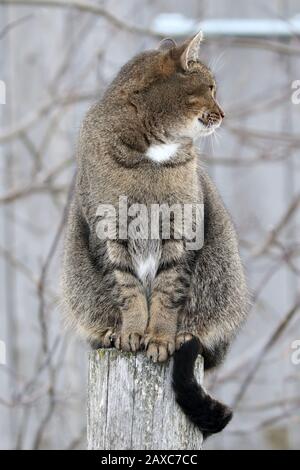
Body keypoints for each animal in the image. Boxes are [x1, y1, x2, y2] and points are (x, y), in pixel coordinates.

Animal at [61, 32, 248, 436]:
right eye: (210, 88)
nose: (223, 113)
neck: (153, 154)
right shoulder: (109, 232)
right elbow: (128, 289)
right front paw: (132, 331)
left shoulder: (182, 231)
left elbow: (166, 291)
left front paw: (160, 336)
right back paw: (109, 332)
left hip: (223, 277)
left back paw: (185, 335)